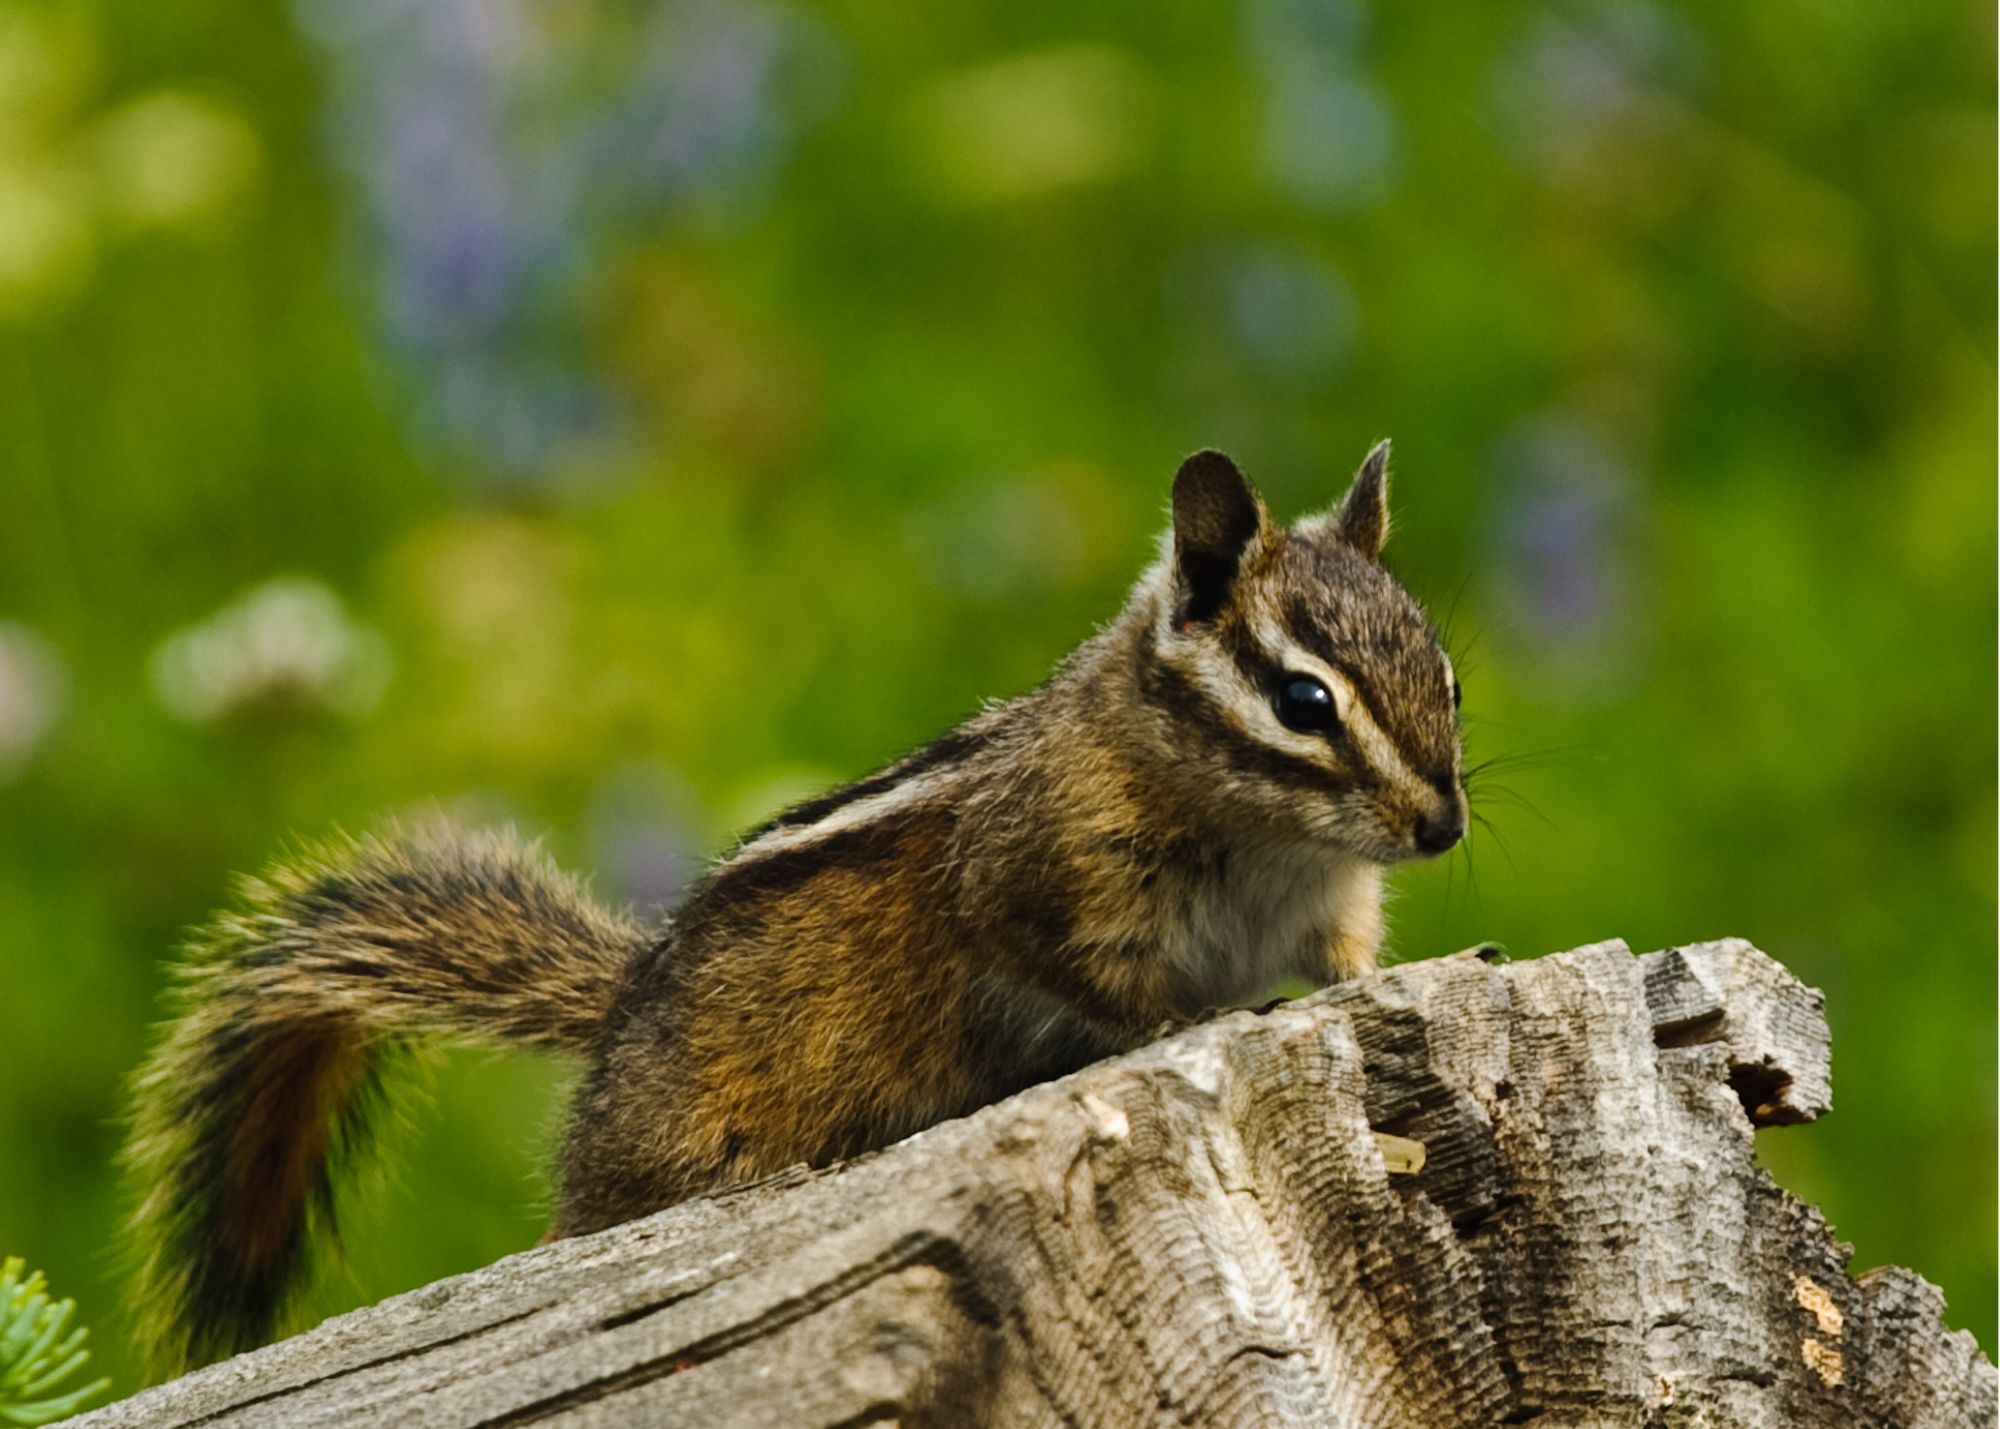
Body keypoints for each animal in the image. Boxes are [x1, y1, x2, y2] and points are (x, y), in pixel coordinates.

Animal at [120, 443, 1468, 1374]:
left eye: (1444, 673)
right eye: (1302, 700)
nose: (1442, 829)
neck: (1273, 845)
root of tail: (623, 1017)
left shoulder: (1326, 907)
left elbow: (1343, 961)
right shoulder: (1038, 881)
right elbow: (1091, 978)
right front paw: (1186, 1026)